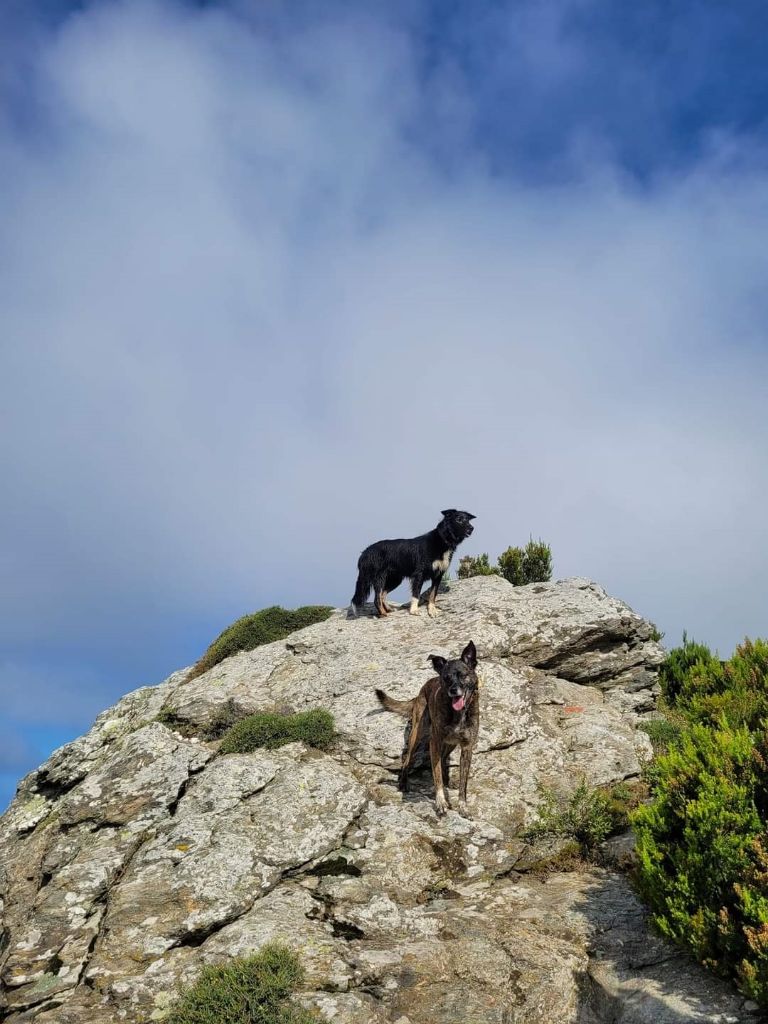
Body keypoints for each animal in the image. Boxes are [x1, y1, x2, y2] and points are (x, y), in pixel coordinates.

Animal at [376, 638, 479, 815]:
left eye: (463, 675)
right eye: (446, 678)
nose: (453, 691)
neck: (457, 713)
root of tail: (422, 688)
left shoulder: (467, 747)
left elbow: (463, 784)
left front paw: (462, 806)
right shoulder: (435, 743)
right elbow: (436, 774)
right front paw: (441, 802)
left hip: (450, 743)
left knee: (443, 758)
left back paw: (447, 780)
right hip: (416, 735)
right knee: (406, 760)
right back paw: (403, 783)